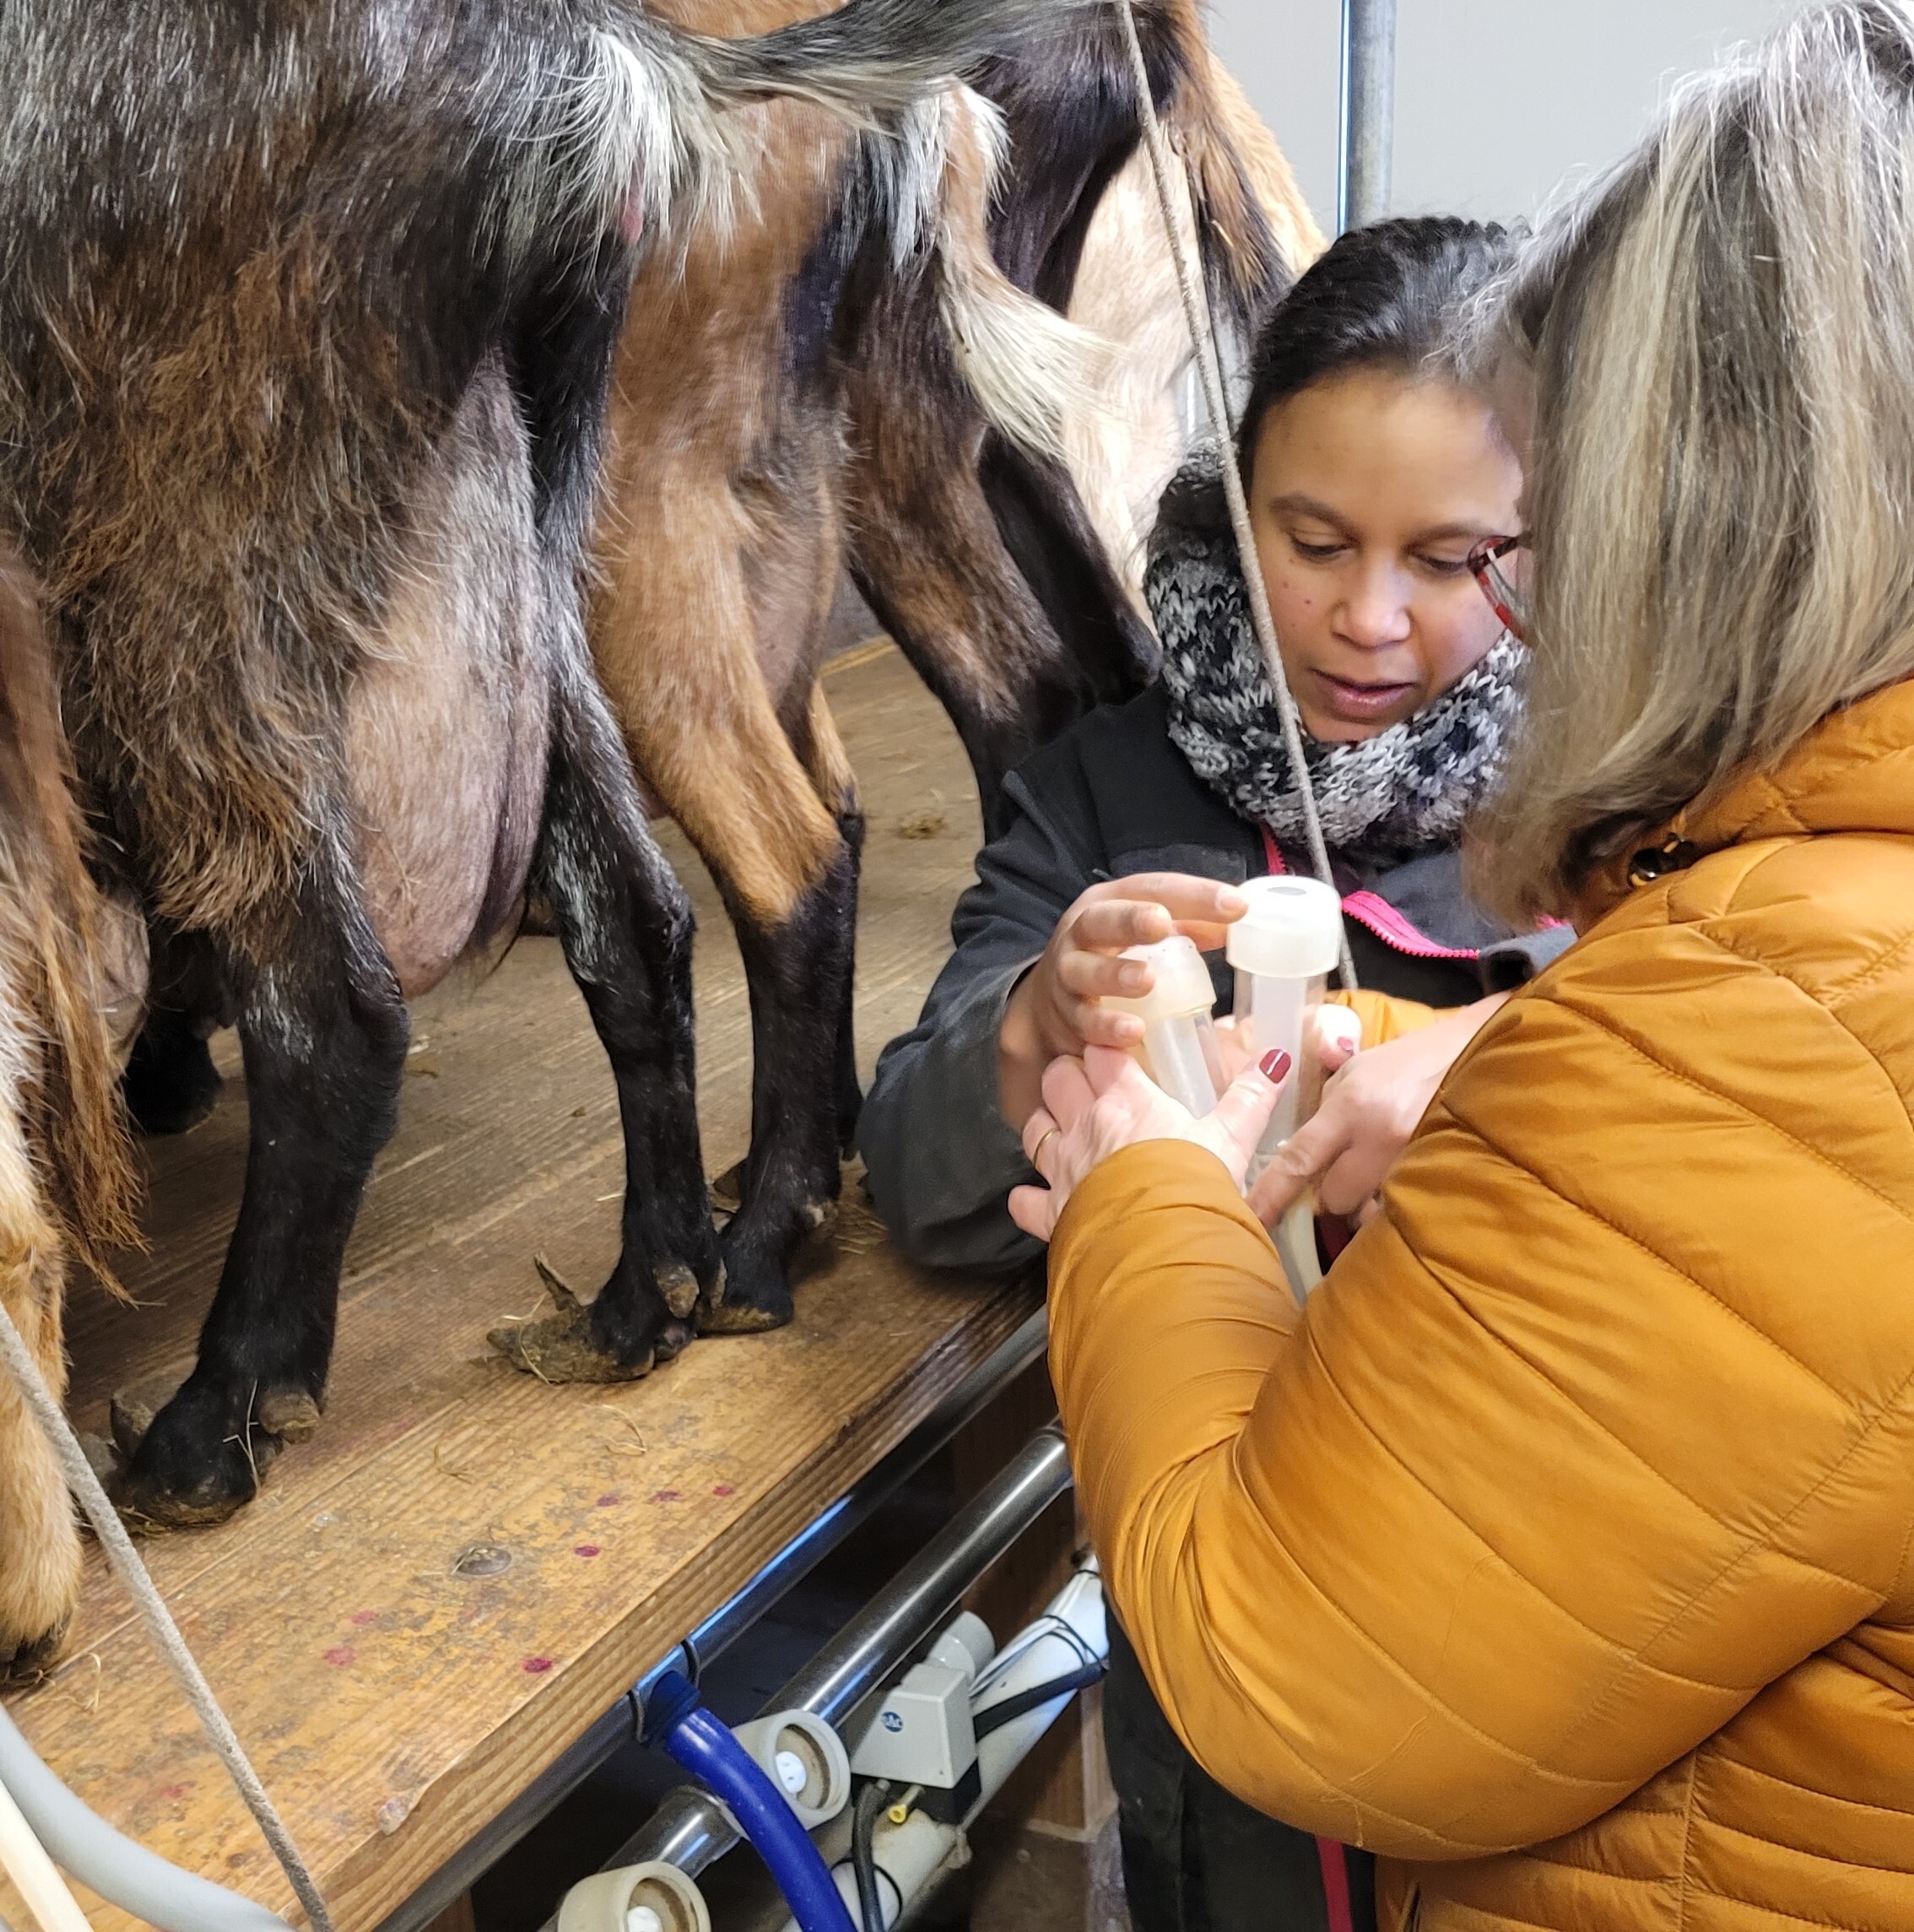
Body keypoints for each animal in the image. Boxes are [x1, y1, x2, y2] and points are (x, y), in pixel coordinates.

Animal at [0, 0, 1081, 1522]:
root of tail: (566, 60)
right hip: (570, 571)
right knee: (667, 899)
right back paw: (658, 1283)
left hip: (203, 572)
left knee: (358, 1001)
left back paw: (226, 1413)